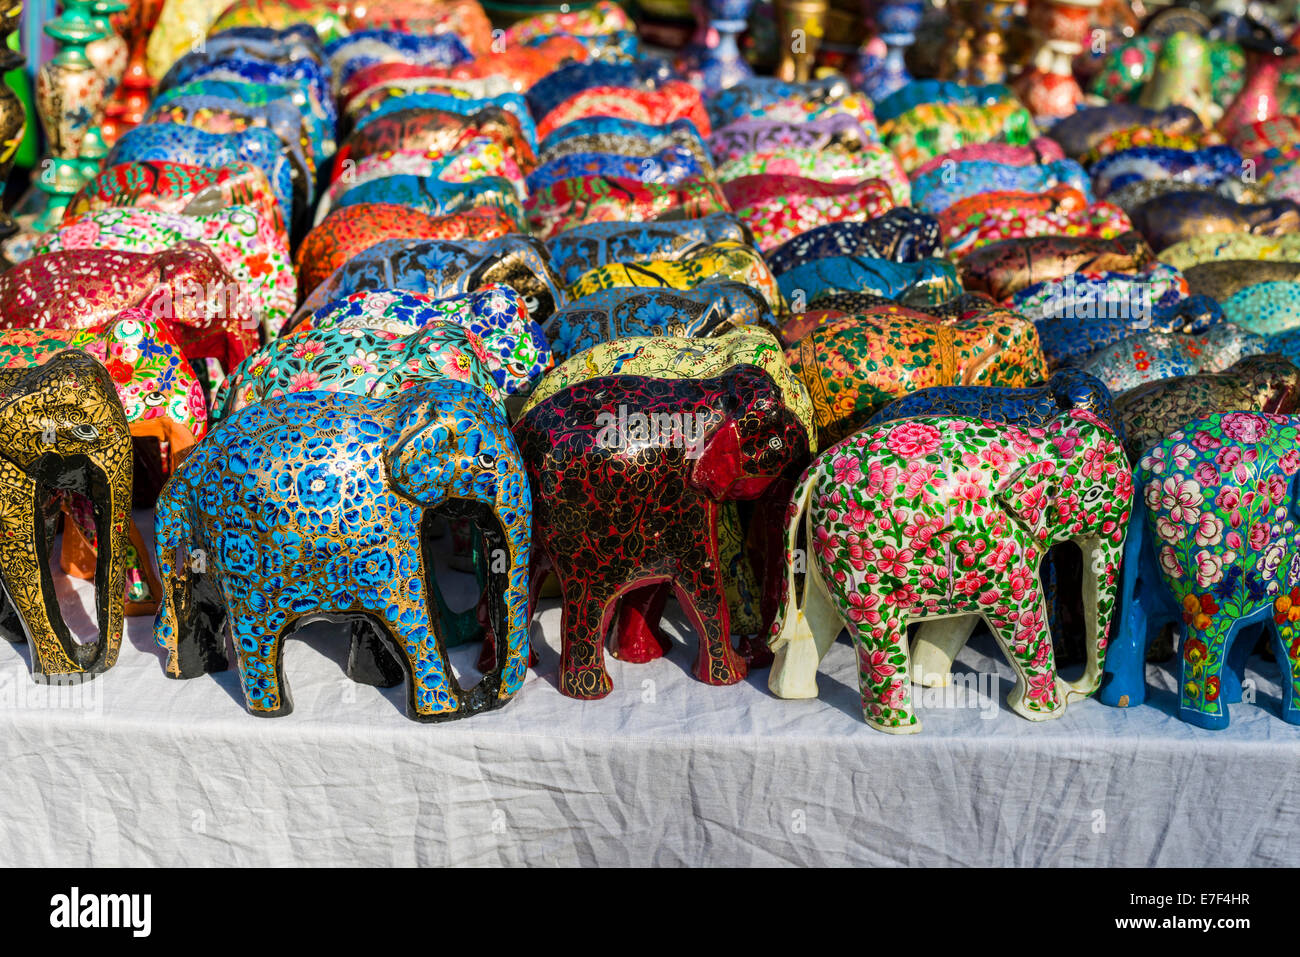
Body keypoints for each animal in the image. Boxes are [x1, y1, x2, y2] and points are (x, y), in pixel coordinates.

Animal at [153, 377, 533, 722]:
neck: (402, 411)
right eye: (487, 460)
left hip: (201, 550)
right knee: (254, 634)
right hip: (241, 562)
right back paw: (273, 711)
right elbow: (409, 614)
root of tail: (181, 478)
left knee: (196, 600)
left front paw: (378, 682)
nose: (484, 692)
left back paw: (189, 671)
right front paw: (444, 713)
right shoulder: (387, 528)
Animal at [512, 364, 806, 696]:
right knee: (588, 604)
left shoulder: (660, 508)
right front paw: (732, 676)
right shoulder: (688, 498)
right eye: (776, 444)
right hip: (577, 531)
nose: (749, 649)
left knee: (528, 584)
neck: (716, 394)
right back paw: (593, 691)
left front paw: (645, 655)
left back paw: (534, 664)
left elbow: (653, 582)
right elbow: (703, 584)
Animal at [764, 408, 1133, 733]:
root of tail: (813, 471)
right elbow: (1021, 616)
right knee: (876, 634)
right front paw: (1045, 713)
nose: (1074, 690)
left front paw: (929, 681)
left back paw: (790, 694)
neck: (1040, 440)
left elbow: (961, 618)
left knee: (816, 616)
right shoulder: (1006, 549)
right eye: (1095, 493)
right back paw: (903, 728)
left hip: (825, 548)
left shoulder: (973, 554)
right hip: (859, 561)